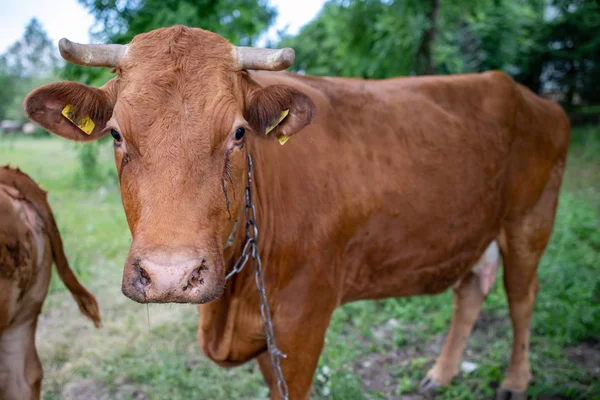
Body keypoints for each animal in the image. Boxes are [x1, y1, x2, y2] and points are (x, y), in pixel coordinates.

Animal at [21, 25, 568, 400]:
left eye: (238, 132)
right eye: (115, 133)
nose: (170, 275)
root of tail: (530, 95)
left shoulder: (304, 324)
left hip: (529, 222)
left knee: (522, 297)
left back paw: (516, 380)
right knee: (470, 290)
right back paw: (440, 373)